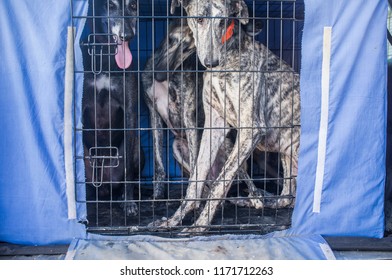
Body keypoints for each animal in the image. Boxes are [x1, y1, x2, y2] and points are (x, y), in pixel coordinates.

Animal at [81, 0, 142, 217]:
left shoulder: (130, 111)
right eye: (110, 5)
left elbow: (128, 170)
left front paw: (130, 202)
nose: (128, 35)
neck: (106, 56)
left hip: (137, 147)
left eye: (133, 6)